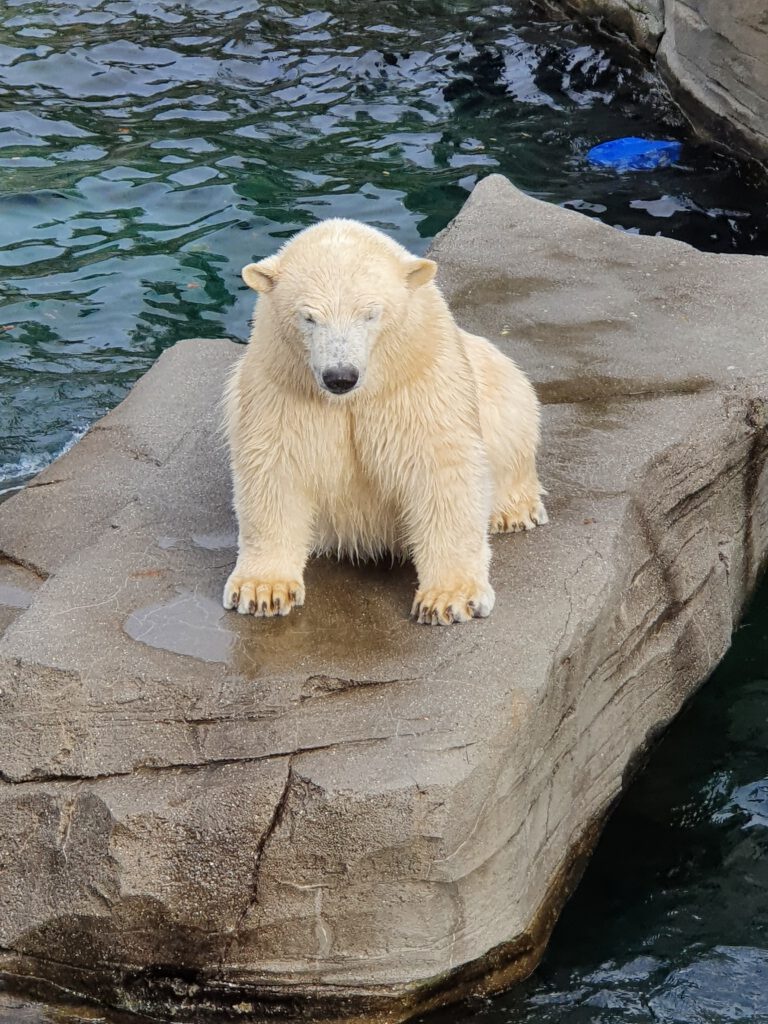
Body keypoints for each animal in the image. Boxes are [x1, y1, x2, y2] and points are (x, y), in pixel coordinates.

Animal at [222, 218, 548, 622]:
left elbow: (442, 468)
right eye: (309, 316)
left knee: (513, 406)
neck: (353, 396)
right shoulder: (281, 383)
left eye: (370, 313)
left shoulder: (417, 377)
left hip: (495, 378)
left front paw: (449, 598)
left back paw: (512, 511)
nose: (340, 376)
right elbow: (275, 468)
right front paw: (262, 591)